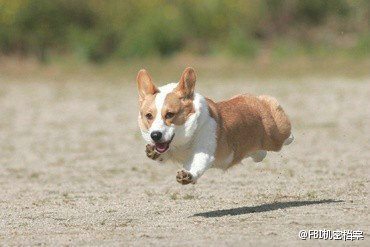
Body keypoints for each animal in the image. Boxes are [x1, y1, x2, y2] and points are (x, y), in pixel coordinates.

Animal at [137, 66, 294, 184]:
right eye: (149, 116)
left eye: (170, 114)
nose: (155, 135)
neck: (182, 140)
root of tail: (253, 100)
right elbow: (163, 153)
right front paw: (152, 150)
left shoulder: (203, 150)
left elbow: (196, 163)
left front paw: (186, 175)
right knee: (260, 154)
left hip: (274, 135)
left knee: (281, 125)